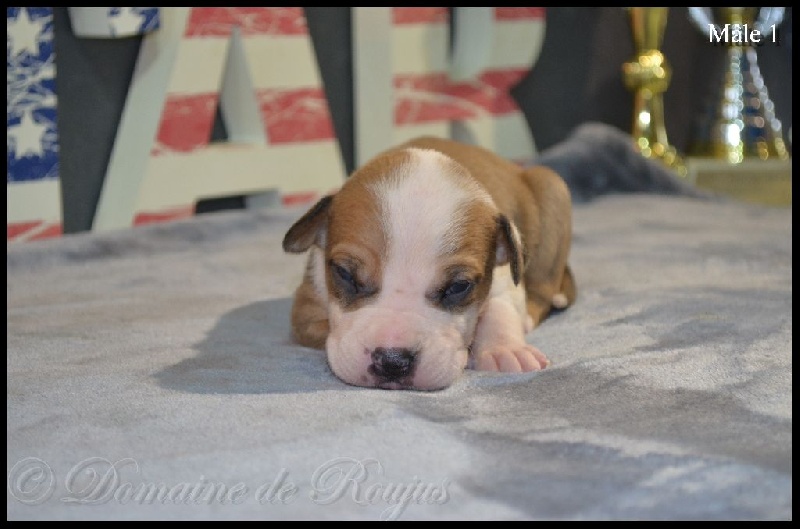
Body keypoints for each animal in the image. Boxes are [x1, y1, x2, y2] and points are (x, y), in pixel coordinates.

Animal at [282, 136, 576, 390]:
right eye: (344, 273)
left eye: (459, 286)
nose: (393, 361)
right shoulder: (306, 311)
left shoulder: (504, 277)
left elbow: (501, 308)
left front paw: (505, 349)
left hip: (552, 187)